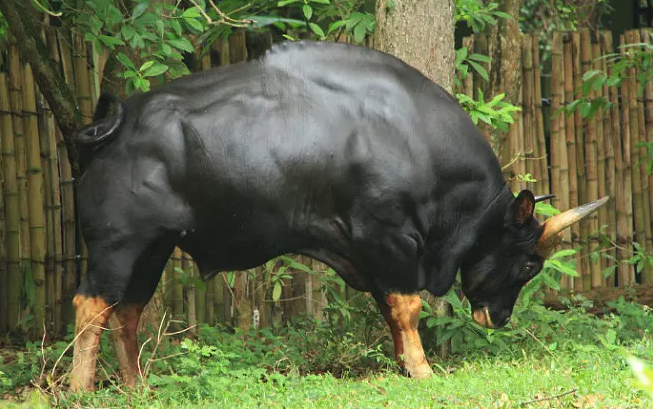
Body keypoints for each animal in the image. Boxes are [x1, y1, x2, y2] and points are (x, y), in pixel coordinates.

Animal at [67, 40, 608, 388]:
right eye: (529, 263)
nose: (499, 317)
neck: (414, 137)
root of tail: (112, 128)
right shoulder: (388, 237)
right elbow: (408, 306)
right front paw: (422, 369)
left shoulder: (369, 252)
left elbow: (390, 309)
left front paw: (403, 364)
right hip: (118, 244)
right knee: (91, 306)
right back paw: (81, 390)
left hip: (154, 247)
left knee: (128, 311)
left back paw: (137, 387)